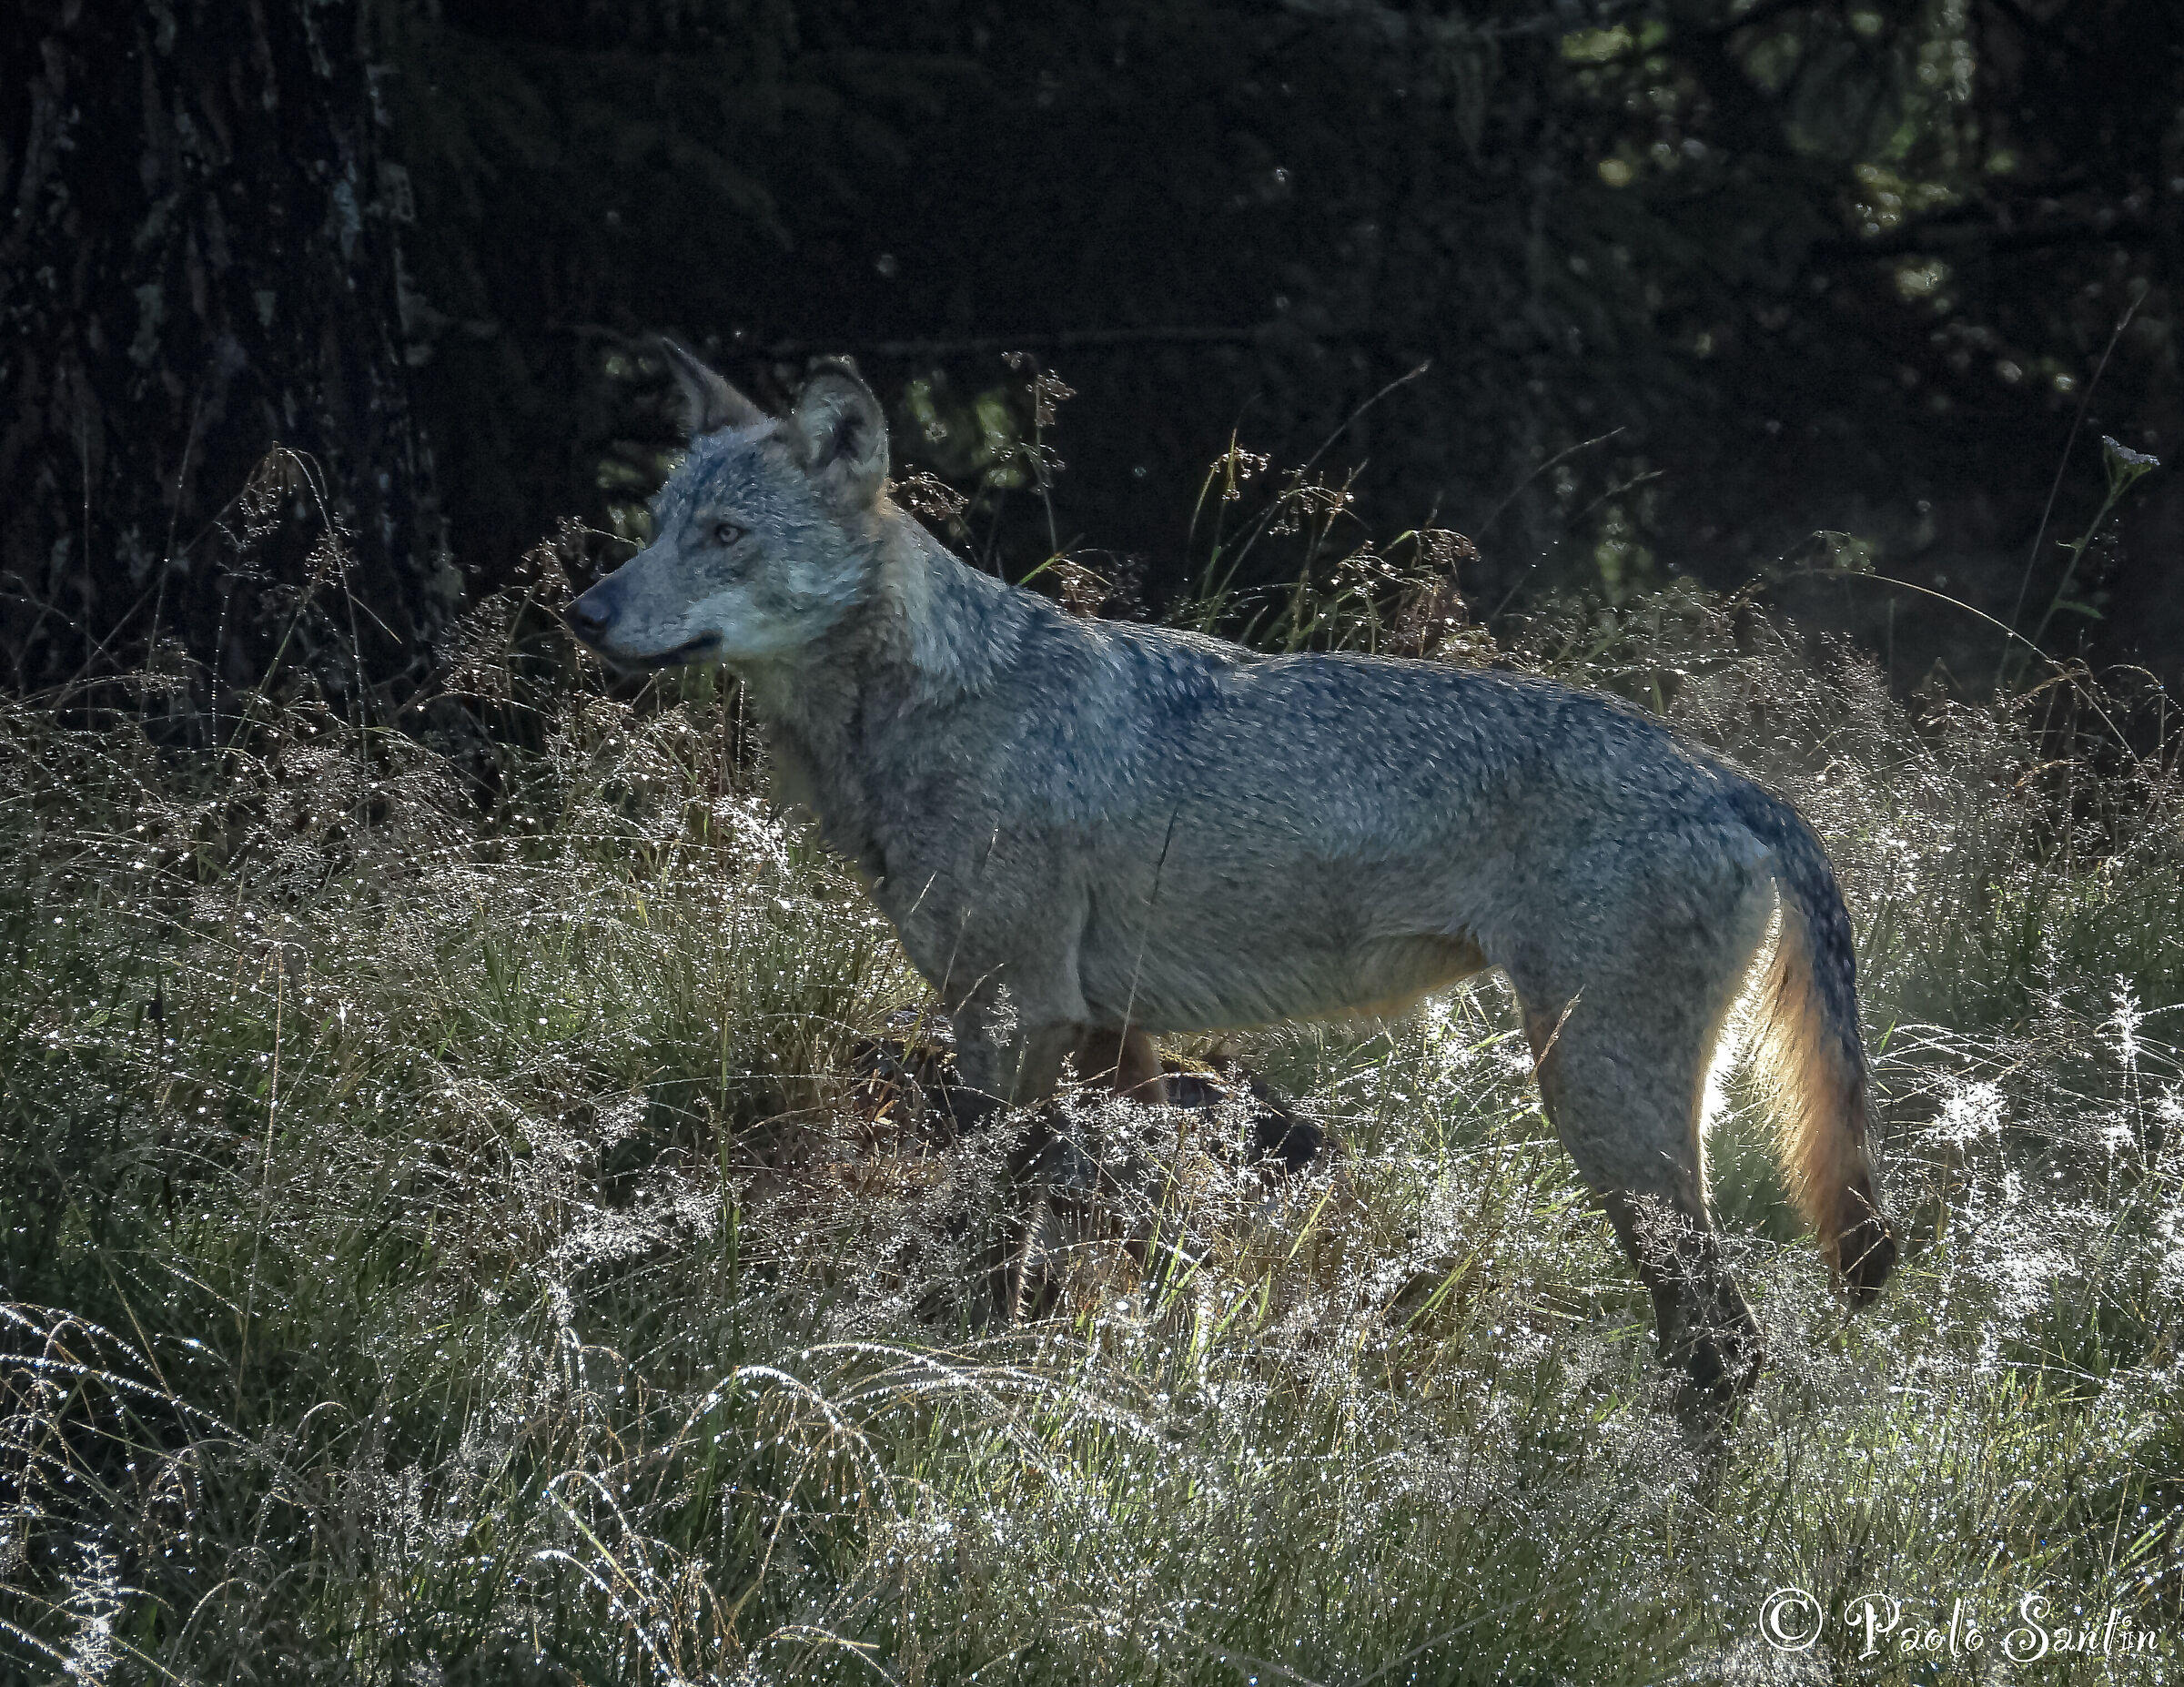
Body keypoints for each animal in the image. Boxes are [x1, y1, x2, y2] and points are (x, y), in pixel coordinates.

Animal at [568, 343, 1897, 1407]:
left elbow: (984, 1247)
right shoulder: (1113, 1036)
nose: (585, 613)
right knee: (1710, 1342)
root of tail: (1736, 781)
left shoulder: (1011, 1018)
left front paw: (956, 1377)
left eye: (724, 537)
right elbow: (1140, 1246)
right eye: (657, 522)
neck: (928, 711)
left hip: (1601, 1109)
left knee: (1727, 1347)